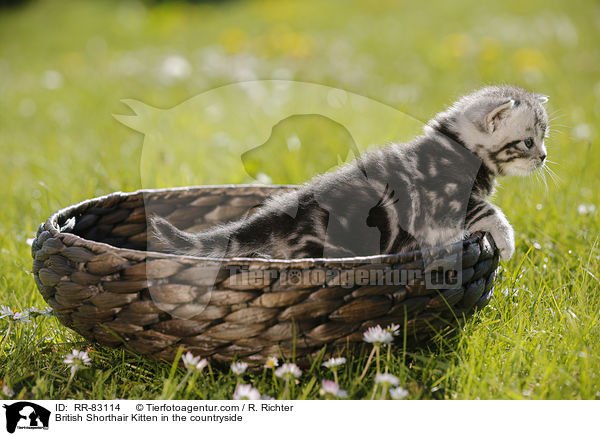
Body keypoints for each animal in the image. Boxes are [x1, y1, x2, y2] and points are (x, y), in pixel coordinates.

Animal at [150, 86, 548, 262]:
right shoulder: (445, 199)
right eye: (528, 141)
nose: (544, 157)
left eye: (544, 138)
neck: (457, 146)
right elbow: (488, 211)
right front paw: (507, 242)